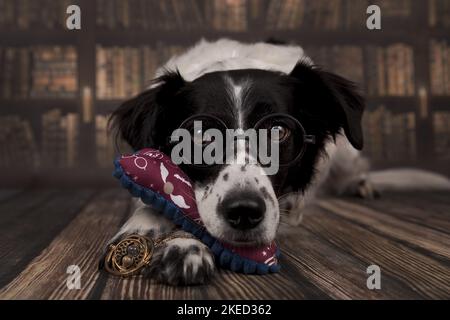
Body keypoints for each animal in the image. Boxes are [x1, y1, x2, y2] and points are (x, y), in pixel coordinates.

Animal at [103, 39, 374, 284]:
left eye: (278, 131)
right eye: (201, 134)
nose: (244, 211)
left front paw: (183, 242)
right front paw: (146, 225)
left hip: (346, 153)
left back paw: (361, 184)